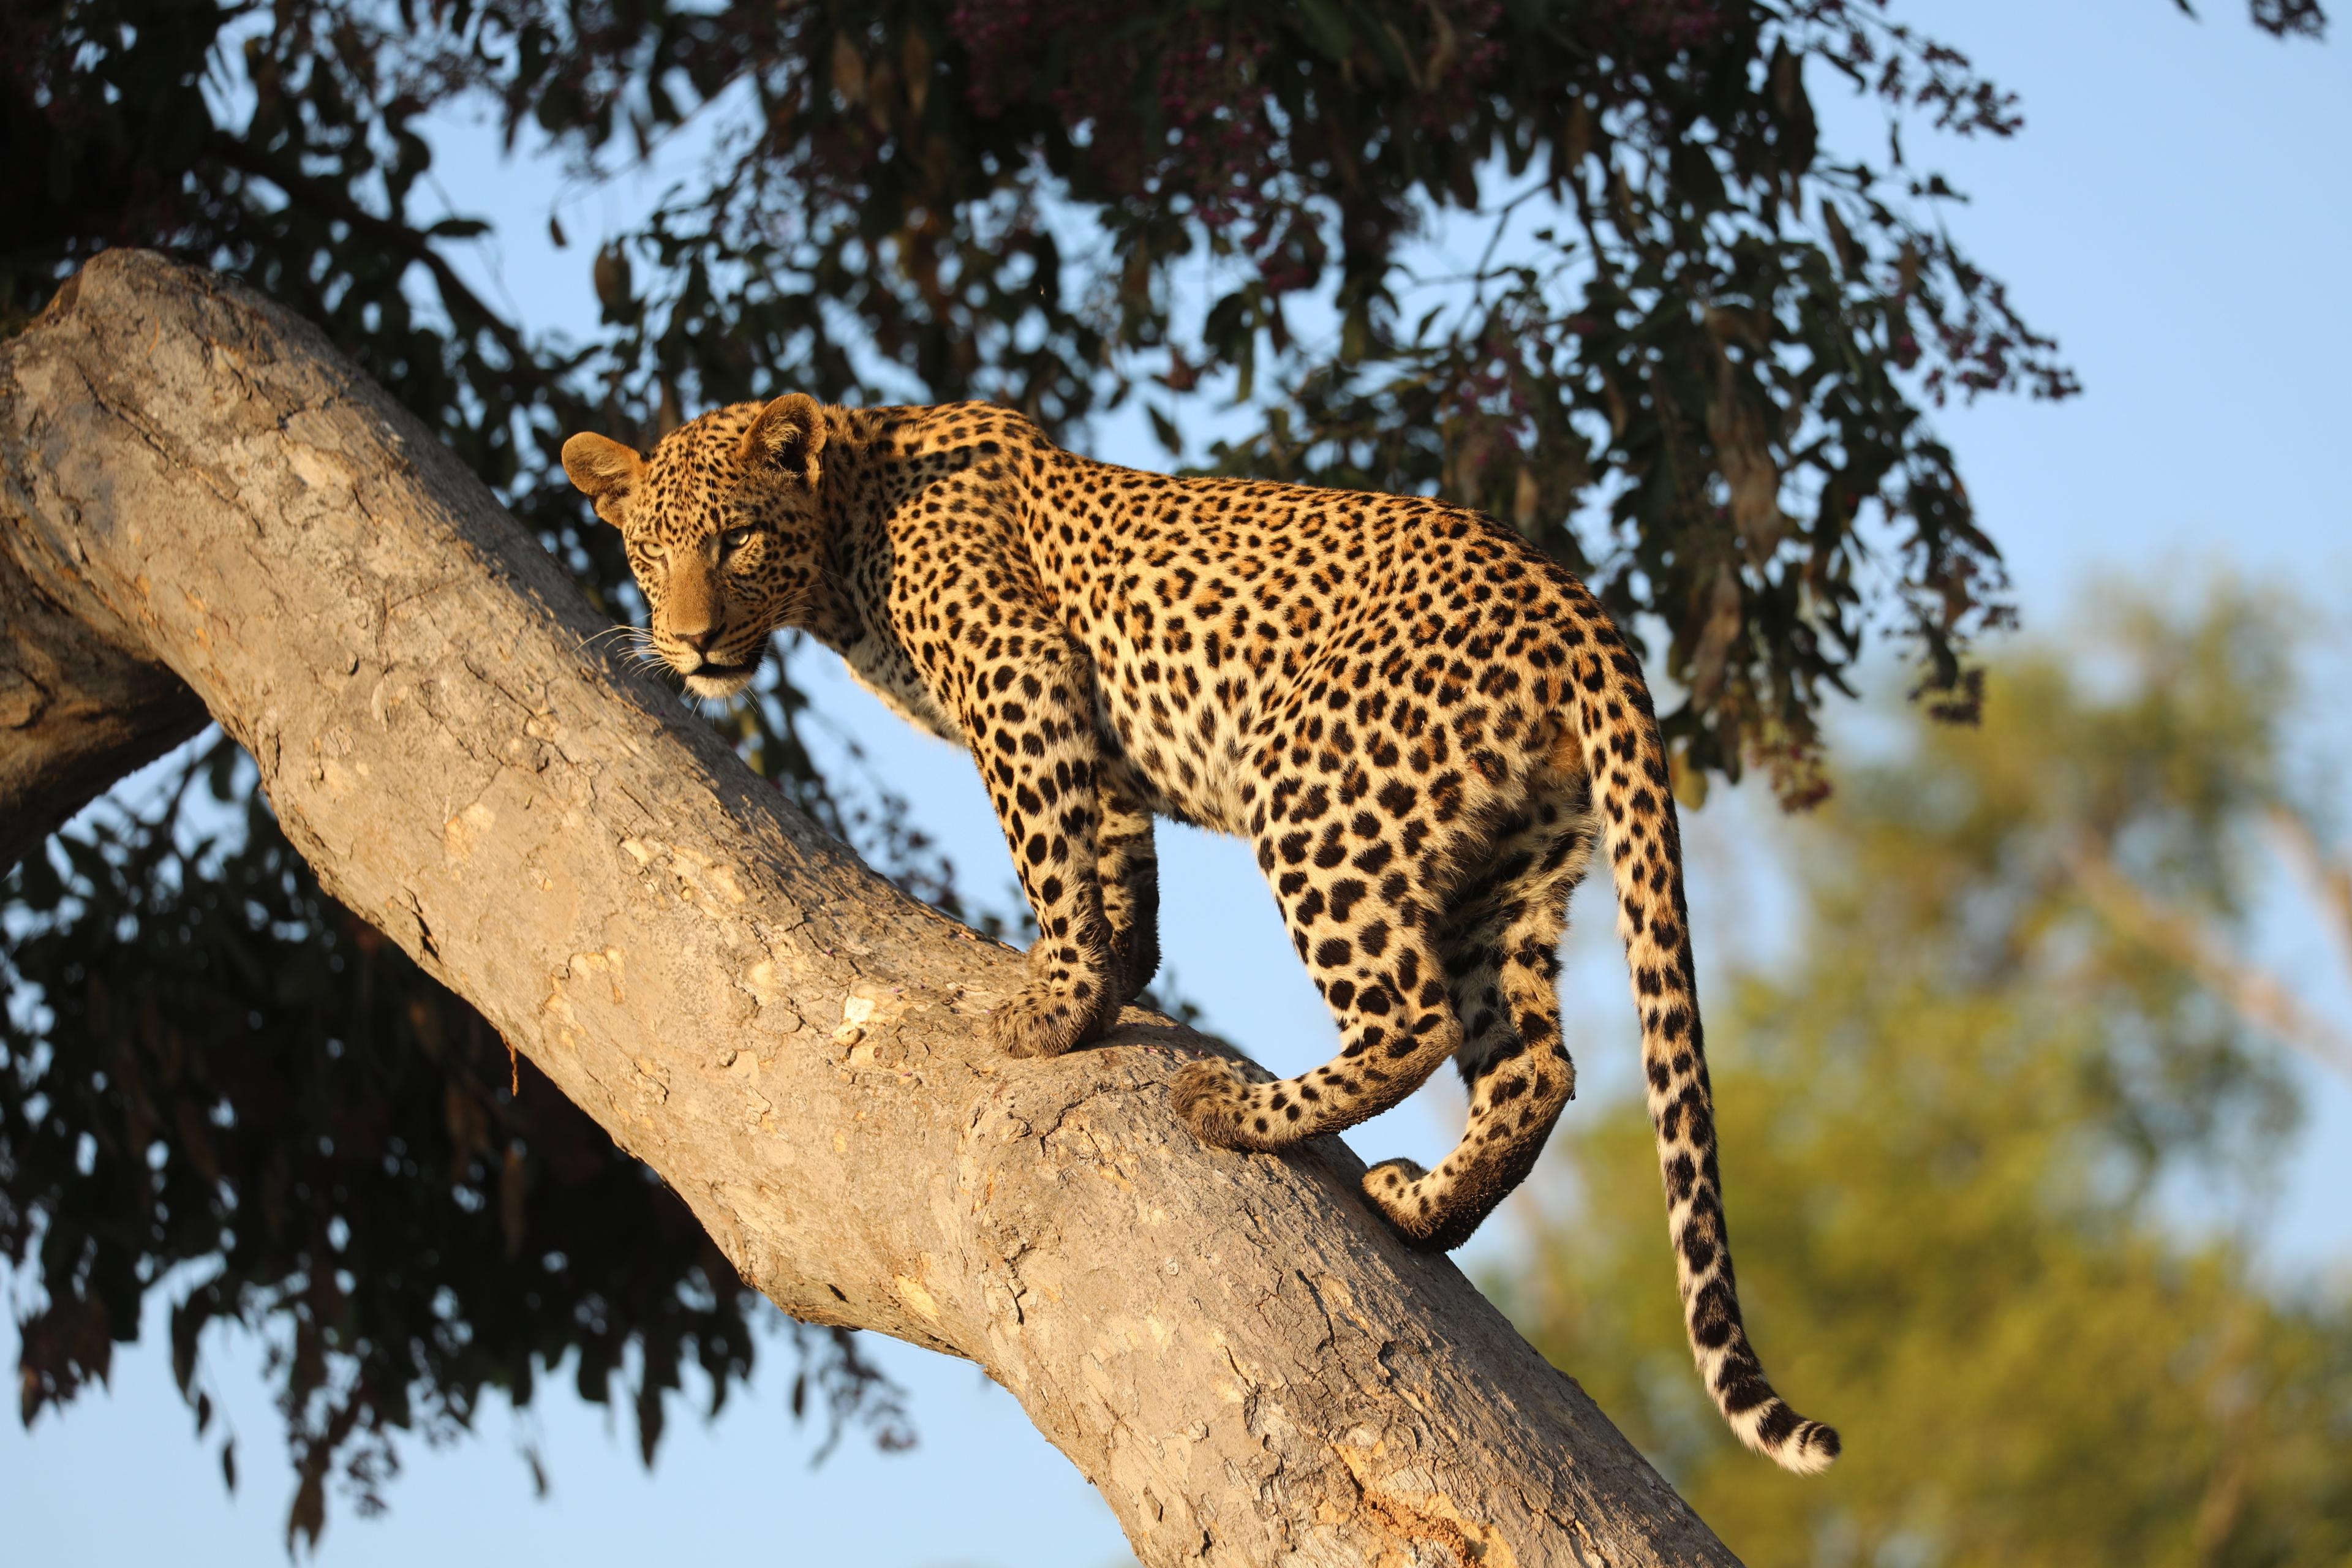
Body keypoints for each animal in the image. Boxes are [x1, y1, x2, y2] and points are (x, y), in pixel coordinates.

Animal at [561, 394, 1839, 1473]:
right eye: (649, 552)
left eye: (736, 541)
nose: (690, 644)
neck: (843, 530)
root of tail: (1579, 606)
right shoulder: (1097, 746)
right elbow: (1117, 868)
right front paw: (1112, 982)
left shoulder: (1021, 678)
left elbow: (1046, 853)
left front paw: (1055, 1006)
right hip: (1511, 863)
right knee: (1536, 1063)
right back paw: (1425, 1210)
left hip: (1315, 788)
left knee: (1412, 1016)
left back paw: (1235, 1111)